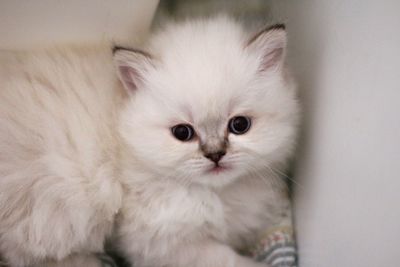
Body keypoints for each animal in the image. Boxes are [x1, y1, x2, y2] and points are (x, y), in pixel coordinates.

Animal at [111, 15, 298, 266]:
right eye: (182, 133)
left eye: (240, 125)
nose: (215, 154)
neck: (215, 196)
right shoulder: (160, 245)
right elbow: (226, 258)